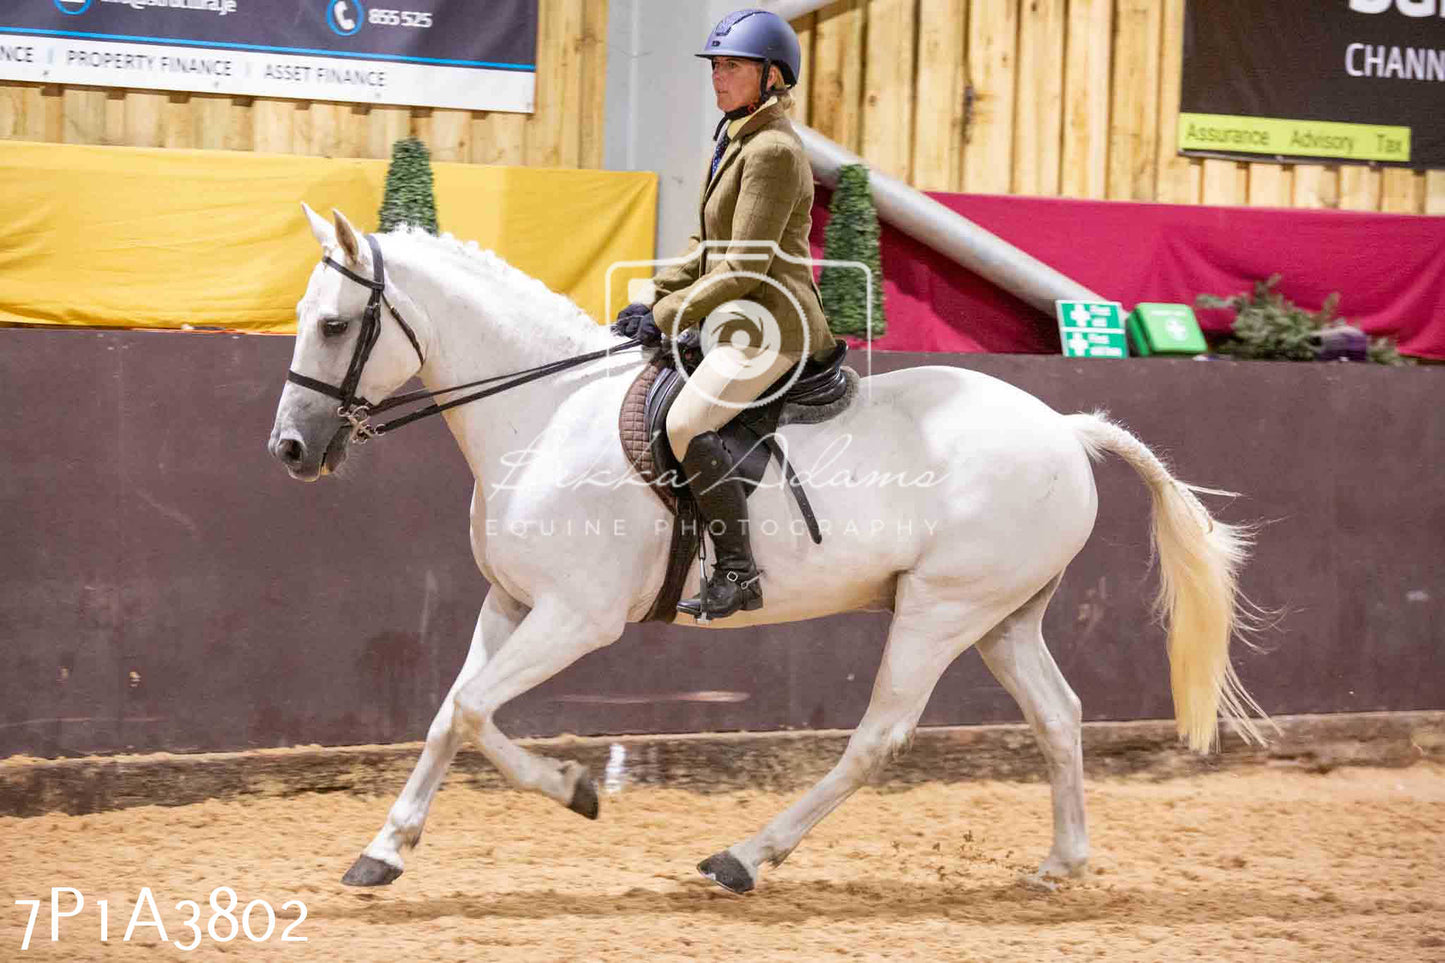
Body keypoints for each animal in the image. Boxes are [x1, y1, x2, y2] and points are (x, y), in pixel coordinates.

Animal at [271, 206, 1265, 890]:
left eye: (333, 325)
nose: (289, 449)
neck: (546, 412)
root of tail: (1064, 426)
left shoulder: (574, 616)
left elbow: (478, 710)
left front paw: (575, 788)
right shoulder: (510, 601)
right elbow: (451, 711)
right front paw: (383, 851)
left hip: (940, 609)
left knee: (878, 736)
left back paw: (744, 856)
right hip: (1003, 616)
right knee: (1057, 717)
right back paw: (1061, 862)